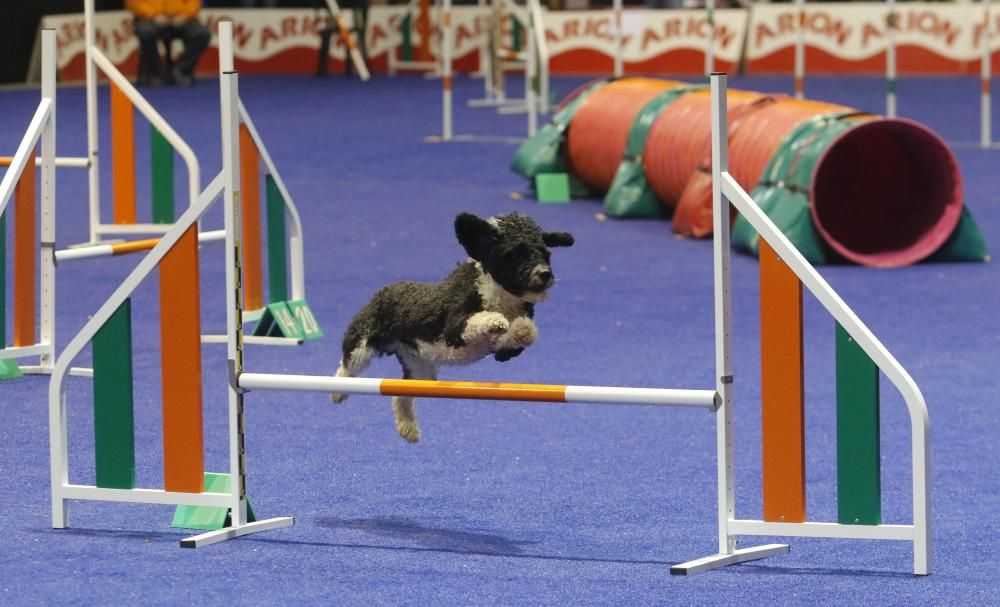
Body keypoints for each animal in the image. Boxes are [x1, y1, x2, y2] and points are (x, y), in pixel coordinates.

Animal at [332, 213, 576, 442]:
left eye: (545, 253)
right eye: (515, 253)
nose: (544, 273)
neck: (497, 294)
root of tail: (385, 289)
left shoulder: (503, 352)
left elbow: (518, 334)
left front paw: (521, 329)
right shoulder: (454, 328)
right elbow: (477, 321)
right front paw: (494, 321)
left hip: (421, 371)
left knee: (400, 395)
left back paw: (408, 428)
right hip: (362, 343)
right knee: (346, 366)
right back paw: (338, 392)